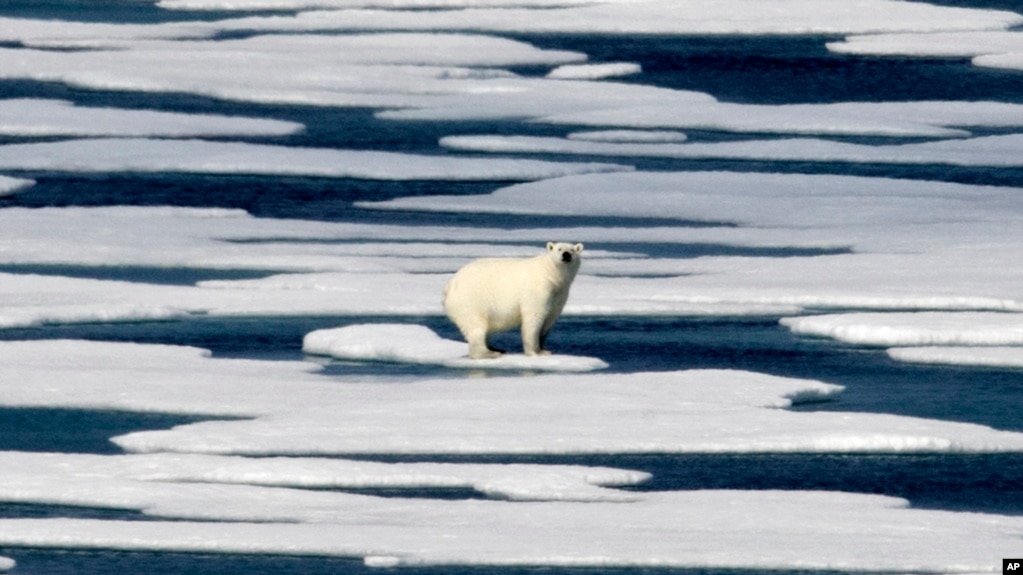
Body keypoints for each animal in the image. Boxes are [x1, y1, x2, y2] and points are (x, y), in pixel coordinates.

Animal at [441, 239, 585, 356]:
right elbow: (534, 318)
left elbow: (549, 320)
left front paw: (544, 349)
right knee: (476, 325)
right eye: (559, 249)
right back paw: (489, 353)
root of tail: (449, 287)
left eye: (572, 250)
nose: (566, 255)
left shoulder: (558, 294)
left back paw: (495, 348)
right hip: (470, 300)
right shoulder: (537, 290)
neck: (550, 275)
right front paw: (534, 351)